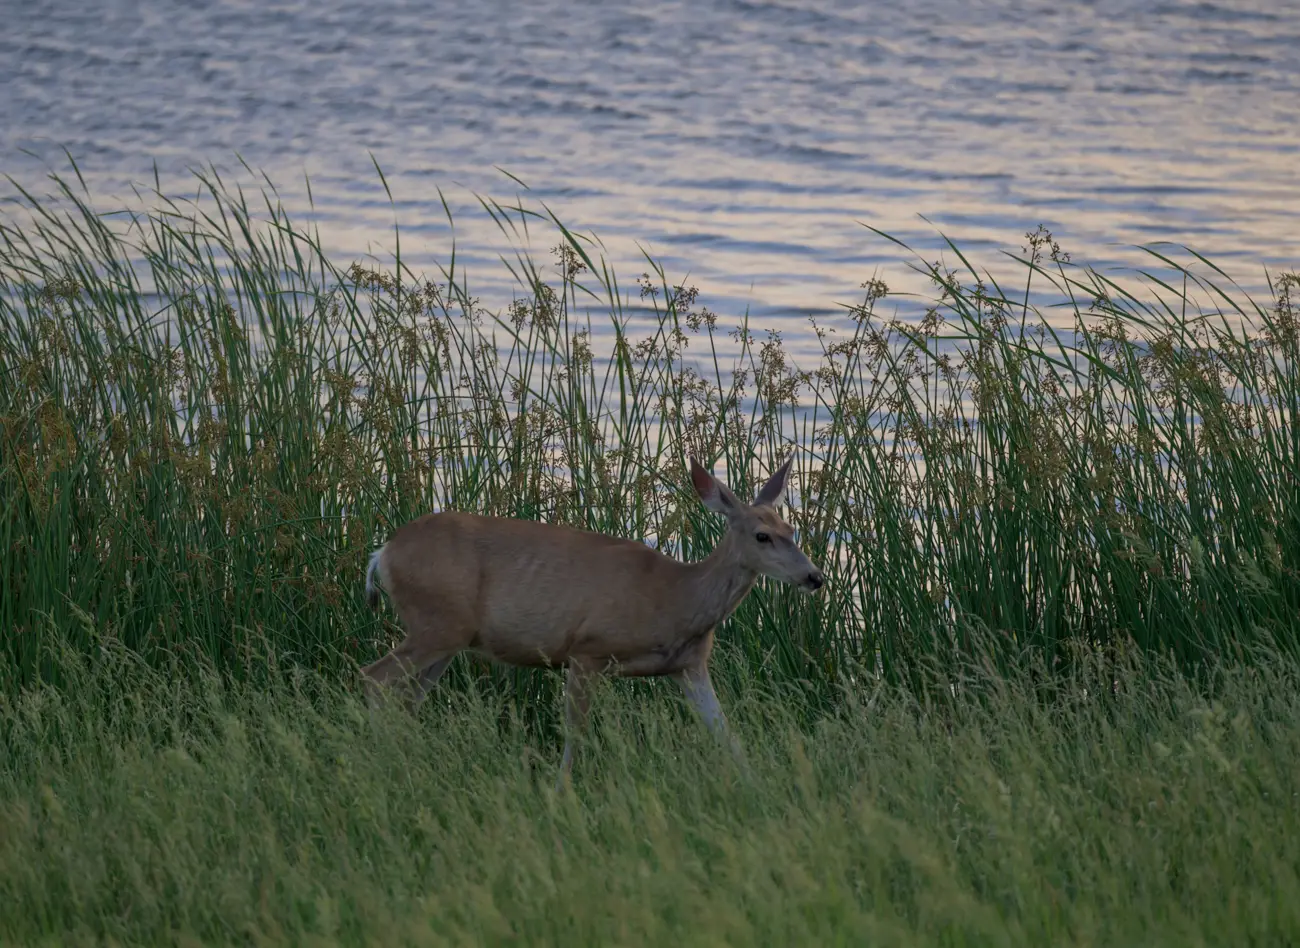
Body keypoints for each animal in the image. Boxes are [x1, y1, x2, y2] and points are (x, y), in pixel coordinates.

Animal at [360, 456, 824, 785]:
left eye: (792, 529)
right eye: (762, 536)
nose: (814, 577)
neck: (676, 597)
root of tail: (383, 553)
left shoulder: (690, 665)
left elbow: (726, 734)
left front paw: (761, 788)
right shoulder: (586, 649)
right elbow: (577, 732)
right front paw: (561, 792)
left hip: (446, 637)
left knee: (408, 697)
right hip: (437, 624)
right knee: (374, 677)